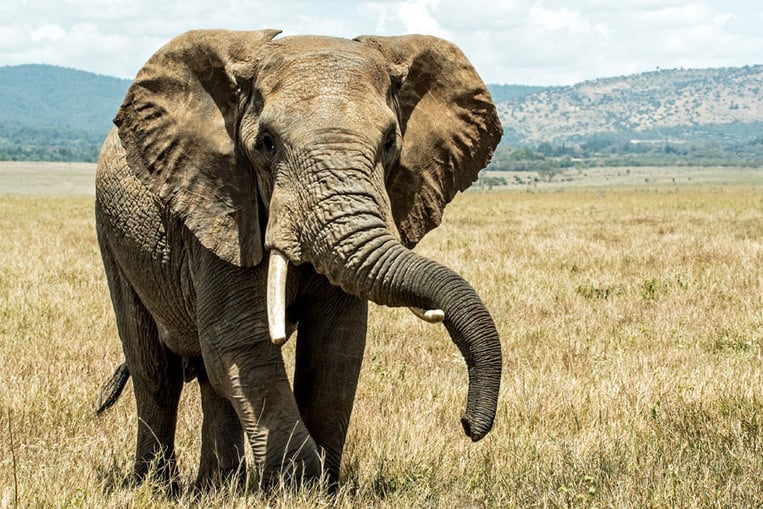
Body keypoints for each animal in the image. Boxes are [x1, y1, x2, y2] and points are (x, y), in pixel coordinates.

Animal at [94, 28, 503, 492]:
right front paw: (299, 484)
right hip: (114, 237)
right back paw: (157, 487)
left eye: (389, 142)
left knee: (210, 376)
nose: (469, 424)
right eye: (266, 143)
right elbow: (241, 339)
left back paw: (217, 488)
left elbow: (335, 346)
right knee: (155, 372)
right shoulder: (224, 206)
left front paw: (323, 487)